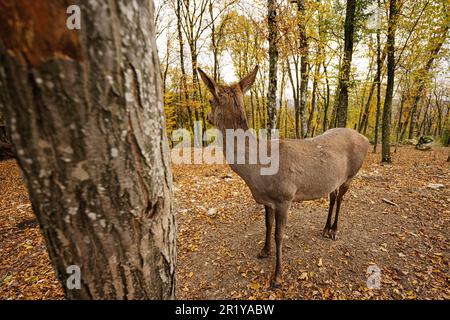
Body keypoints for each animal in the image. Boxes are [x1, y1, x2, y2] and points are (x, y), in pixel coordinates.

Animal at [198, 65, 370, 288]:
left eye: (210, 100)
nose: (207, 117)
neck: (256, 170)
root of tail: (366, 138)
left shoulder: (284, 197)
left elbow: (280, 235)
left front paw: (277, 276)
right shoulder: (267, 200)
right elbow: (267, 225)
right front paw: (264, 251)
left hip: (352, 174)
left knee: (340, 198)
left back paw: (333, 230)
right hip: (335, 178)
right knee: (332, 196)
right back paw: (324, 229)